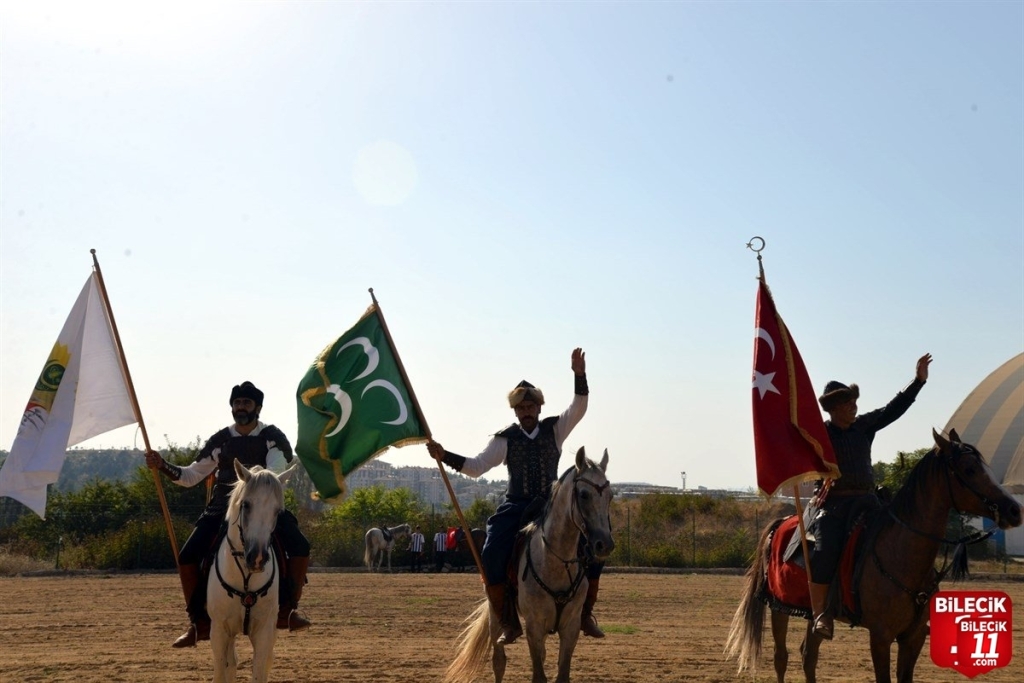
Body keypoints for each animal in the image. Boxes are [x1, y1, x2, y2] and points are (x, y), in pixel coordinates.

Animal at [207, 458, 296, 683]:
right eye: (246, 504)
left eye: (277, 511)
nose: (257, 558)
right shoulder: (219, 631)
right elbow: (221, 670)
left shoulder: (265, 631)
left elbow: (259, 671)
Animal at [724, 430, 1019, 679]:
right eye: (969, 469)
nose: (1015, 510)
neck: (901, 555)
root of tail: (781, 522)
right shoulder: (880, 637)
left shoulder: (913, 638)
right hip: (778, 606)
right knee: (781, 658)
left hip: (815, 615)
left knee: (809, 656)